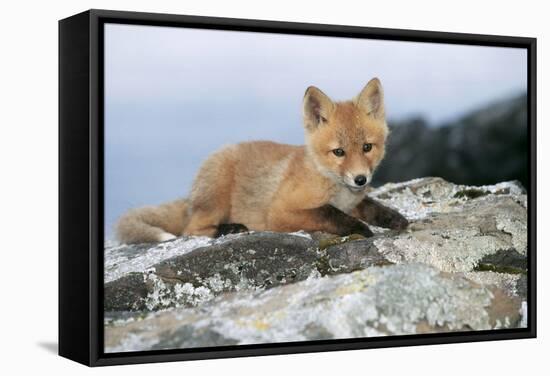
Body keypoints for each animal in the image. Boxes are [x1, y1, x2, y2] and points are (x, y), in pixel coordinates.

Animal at [116, 78, 410, 245]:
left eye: (367, 147)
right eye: (338, 152)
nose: (361, 179)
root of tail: (190, 197)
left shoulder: (354, 201)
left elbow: (371, 206)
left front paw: (393, 217)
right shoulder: (281, 211)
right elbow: (329, 213)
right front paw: (359, 228)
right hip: (216, 193)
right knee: (192, 229)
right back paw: (230, 228)